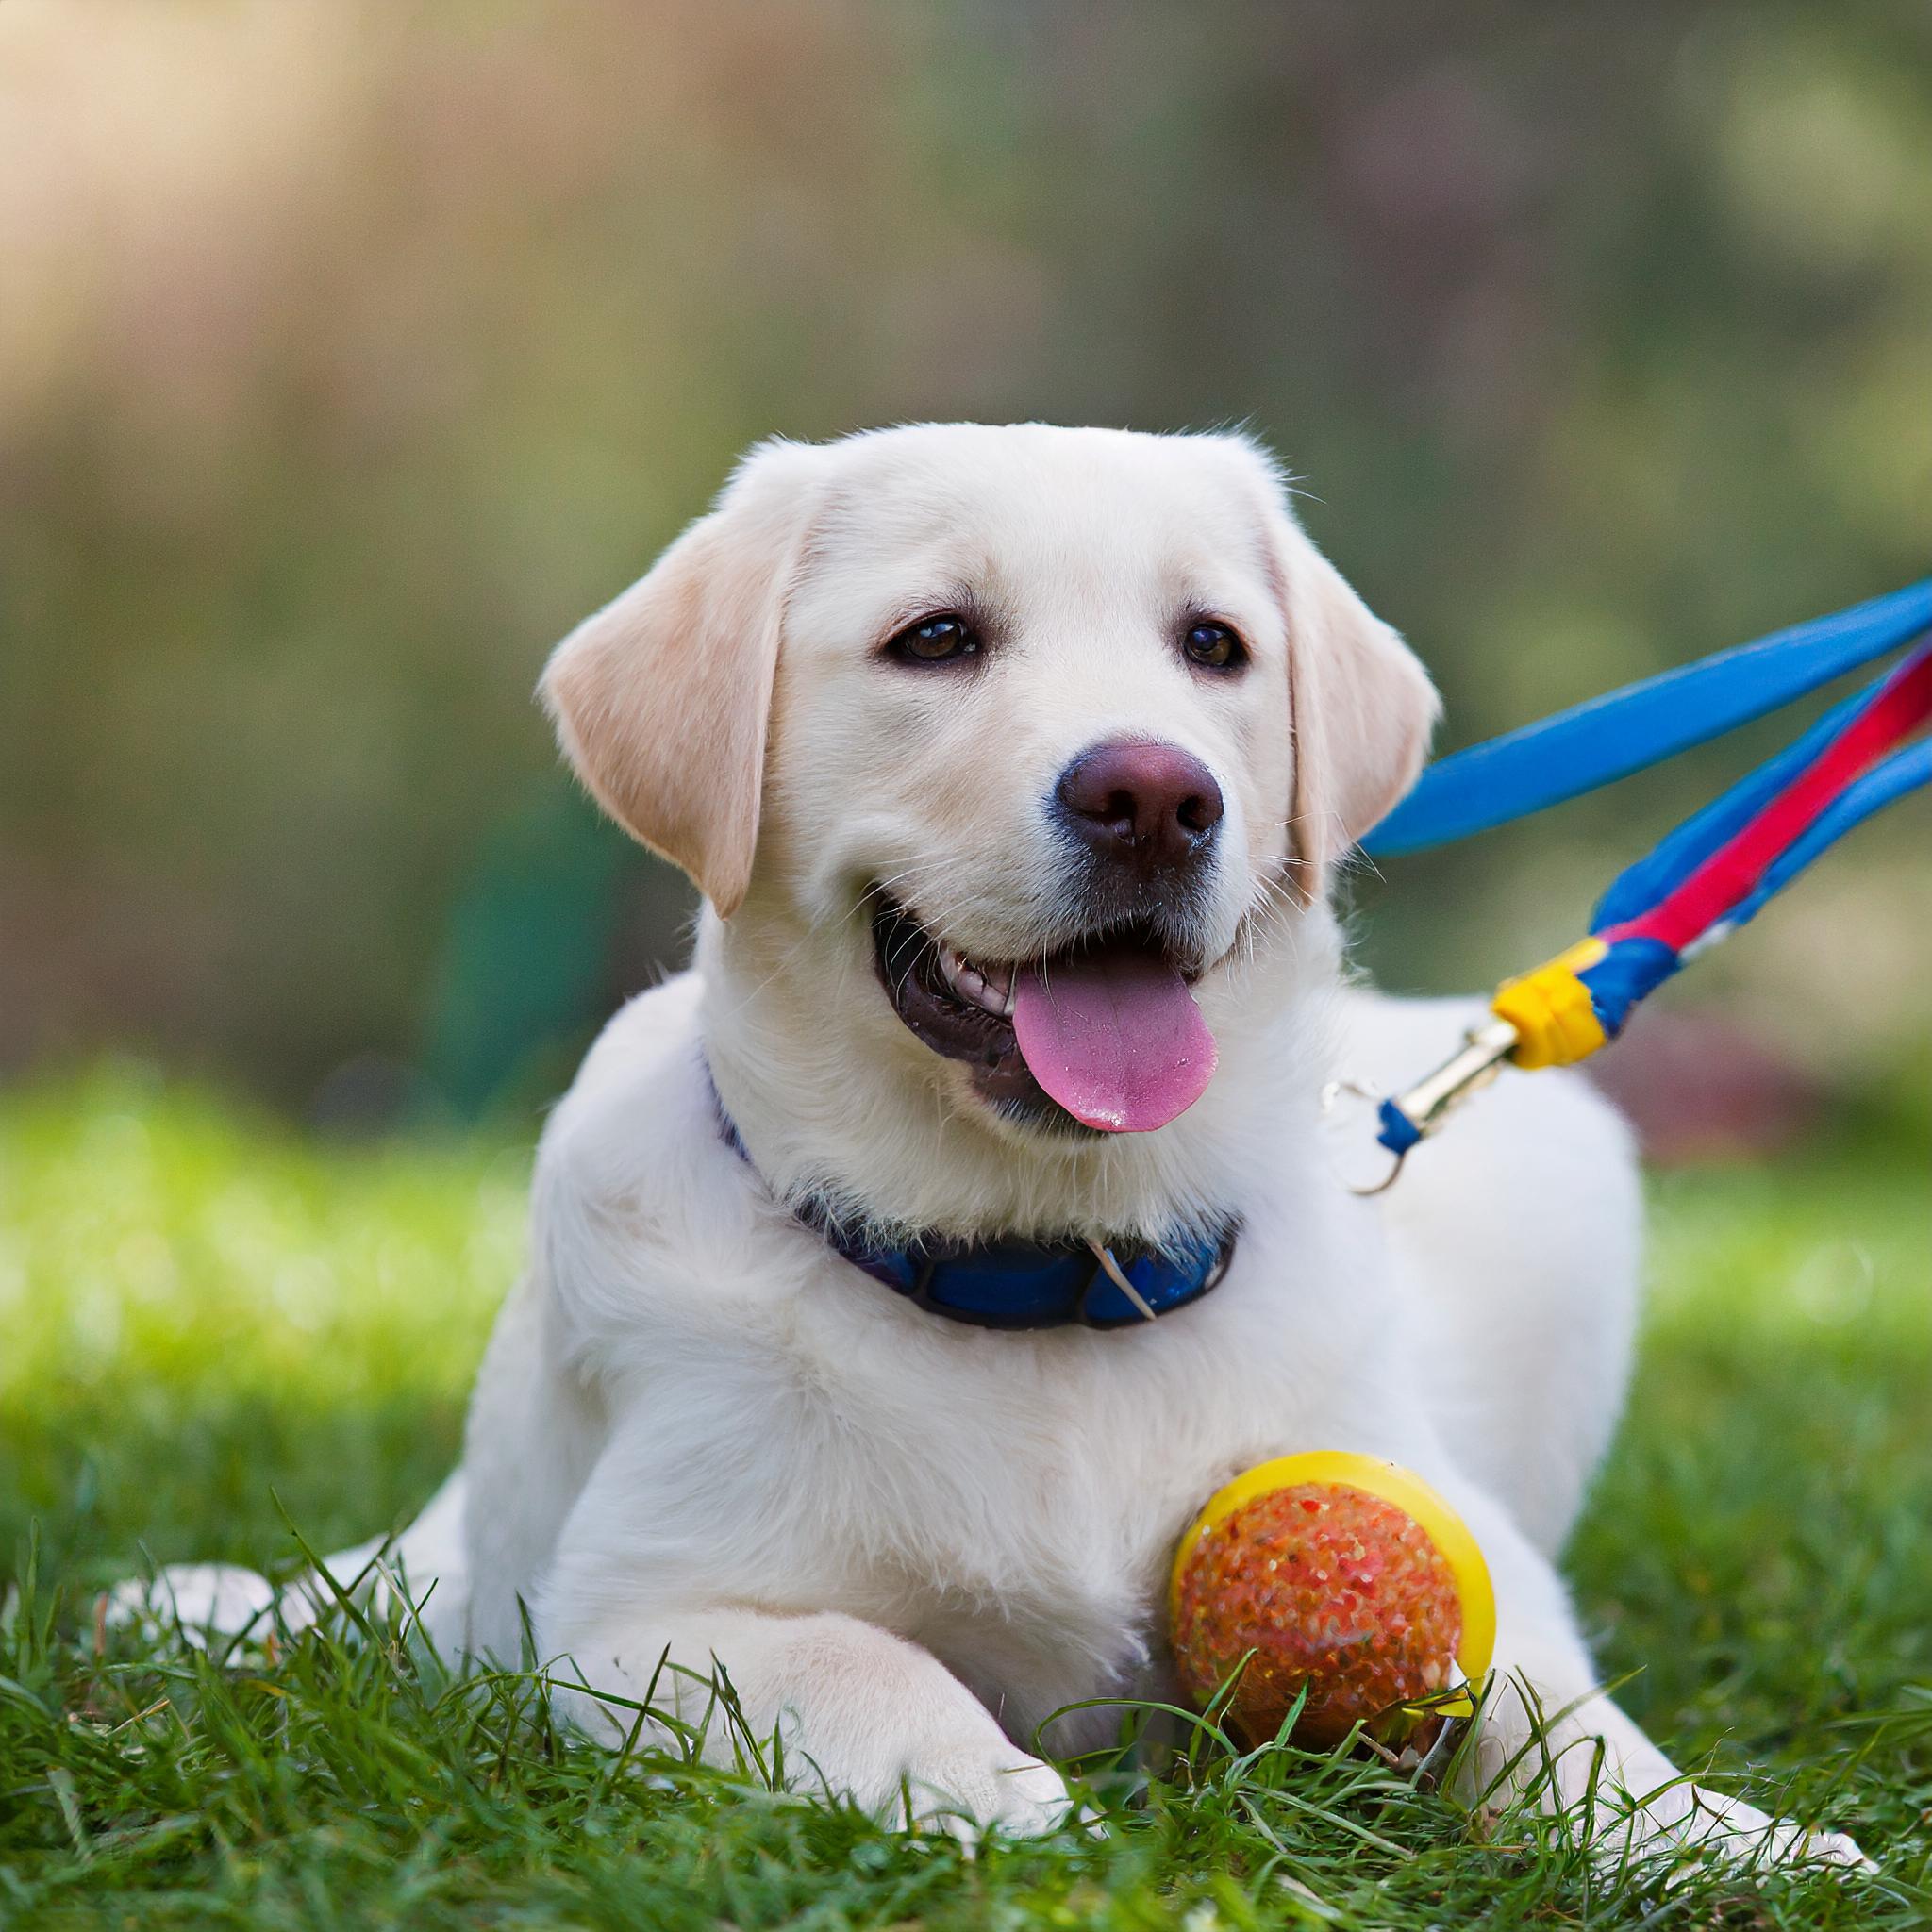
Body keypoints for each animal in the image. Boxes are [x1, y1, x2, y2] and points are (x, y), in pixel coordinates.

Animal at [128, 426, 1862, 1870]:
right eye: (937, 639)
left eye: (1213, 645)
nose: (1156, 796)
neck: (1050, 1270)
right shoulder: (639, 1617)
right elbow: (865, 1664)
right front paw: (1020, 1813)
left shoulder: (1461, 1530)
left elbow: (1550, 1700)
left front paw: (1721, 1836)